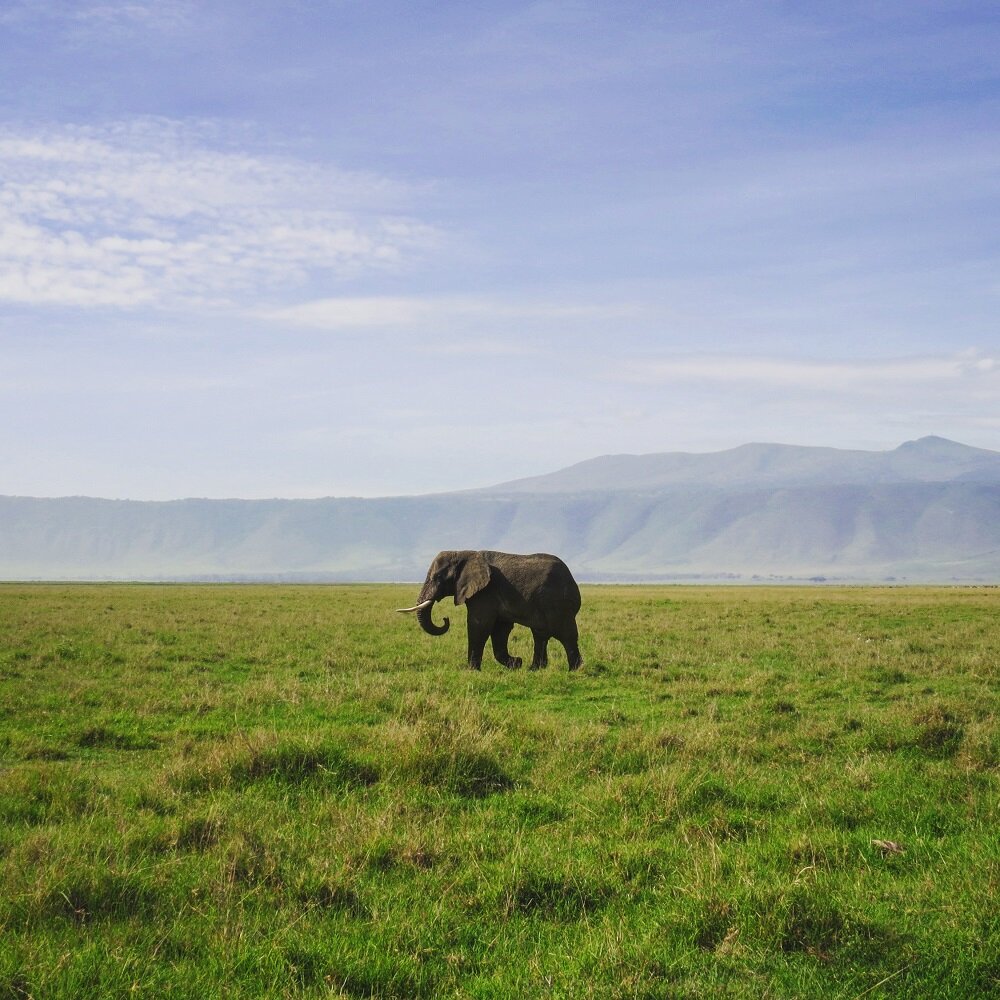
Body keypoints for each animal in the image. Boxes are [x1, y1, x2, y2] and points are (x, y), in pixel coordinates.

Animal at [396, 548, 584, 672]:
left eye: (438, 577)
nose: (445, 619)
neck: (463, 553)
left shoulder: (485, 593)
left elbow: (479, 625)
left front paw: (472, 671)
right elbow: (500, 629)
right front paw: (516, 664)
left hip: (559, 604)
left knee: (566, 635)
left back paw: (575, 670)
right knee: (540, 635)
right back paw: (534, 669)